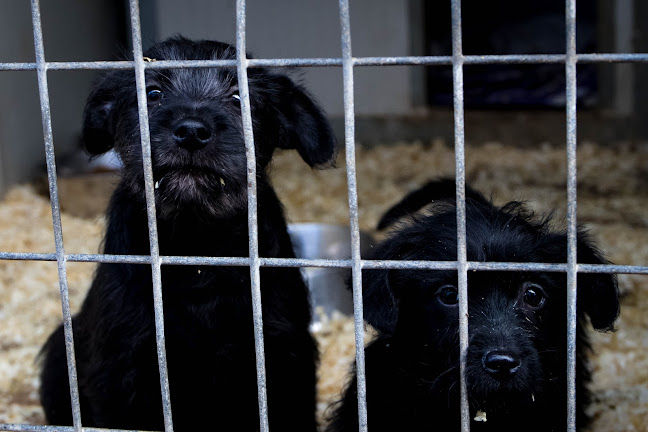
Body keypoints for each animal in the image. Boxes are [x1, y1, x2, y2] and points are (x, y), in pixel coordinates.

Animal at [41, 37, 336, 432]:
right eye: (152, 93)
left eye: (239, 97)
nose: (192, 131)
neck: (196, 248)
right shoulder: (123, 365)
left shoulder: (283, 358)